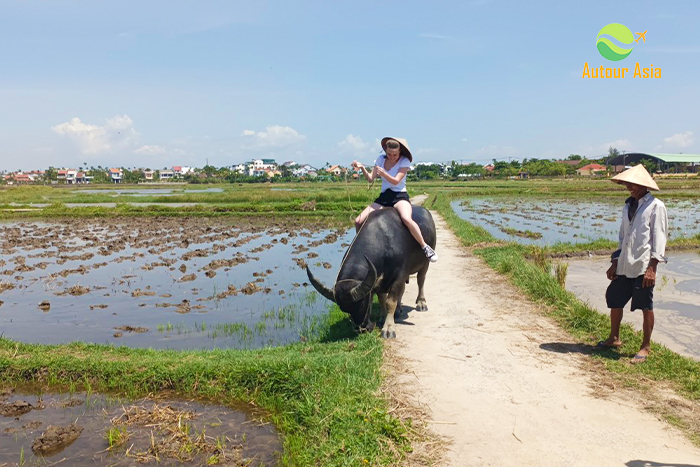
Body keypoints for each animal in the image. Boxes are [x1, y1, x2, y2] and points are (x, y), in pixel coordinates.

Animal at [308, 207, 434, 338]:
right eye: (344, 309)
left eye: (362, 304)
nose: (363, 329)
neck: (383, 241)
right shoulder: (378, 280)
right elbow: (382, 300)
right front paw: (383, 318)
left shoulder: (399, 276)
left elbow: (390, 302)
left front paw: (388, 328)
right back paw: (399, 309)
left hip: (425, 262)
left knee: (421, 279)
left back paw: (421, 303)